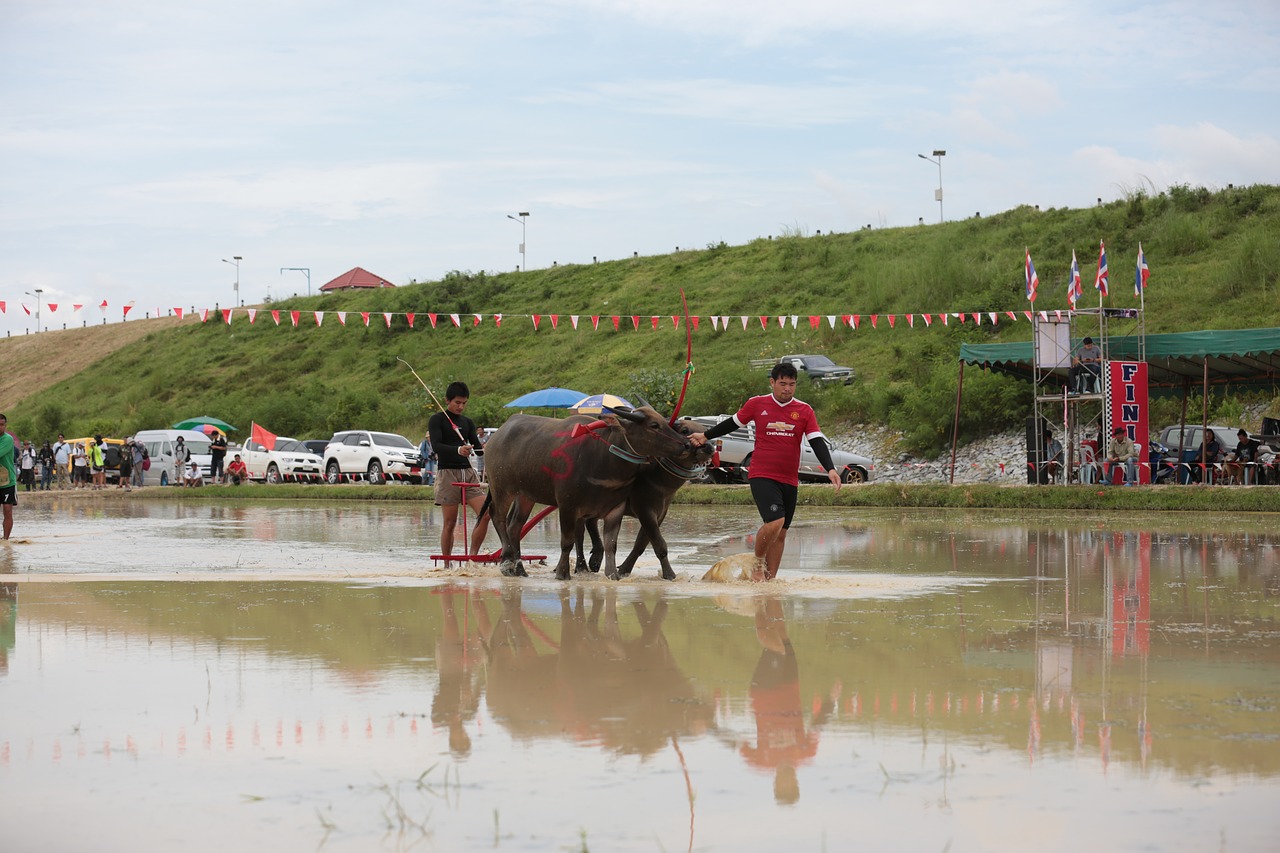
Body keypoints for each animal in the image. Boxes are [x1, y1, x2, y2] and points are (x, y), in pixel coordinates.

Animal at [483, 404, 696, 578]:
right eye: (654, 425)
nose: (686, 444)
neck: (602, 458)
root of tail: (497, 435)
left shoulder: (614, 508)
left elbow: (611, 543)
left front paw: (612, 574)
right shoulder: (567, 505)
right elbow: (567, 541)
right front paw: (562, 573)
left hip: (525, 495)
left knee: (514, 526)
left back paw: (519, 569)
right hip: (501, 488)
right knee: (497, 517)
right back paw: (507, 562)